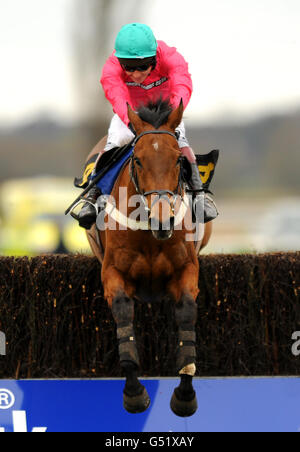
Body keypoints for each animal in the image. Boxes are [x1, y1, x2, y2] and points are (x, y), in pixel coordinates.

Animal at [86, 99, 213, 416]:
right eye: (138, 160)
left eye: (178, 160)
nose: (163, 221)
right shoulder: (113, 273)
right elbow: (123, 318)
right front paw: (134, 392)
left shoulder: (186, 270)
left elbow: (186, 317)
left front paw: (184, 394)